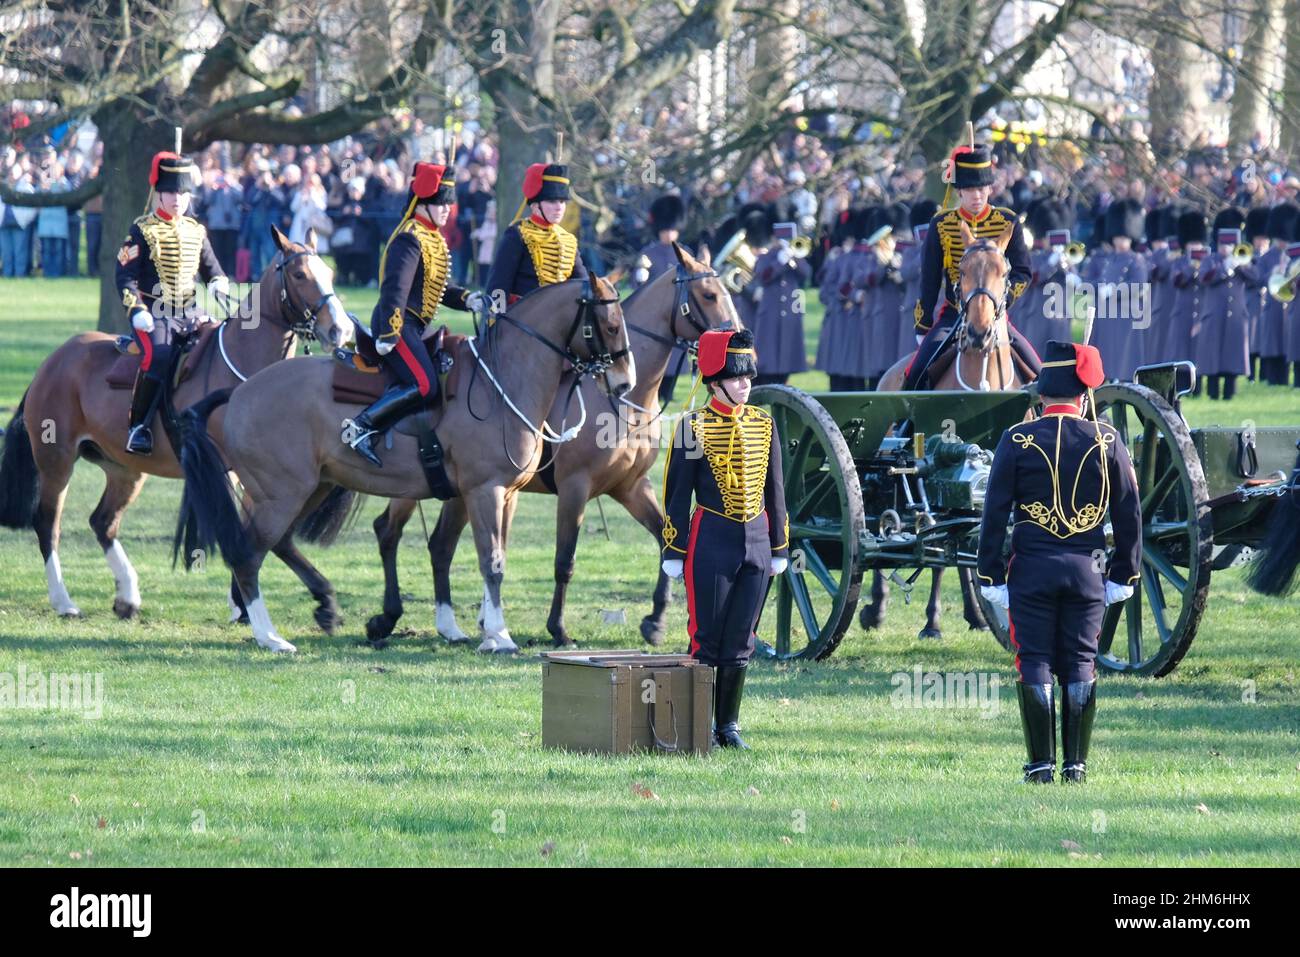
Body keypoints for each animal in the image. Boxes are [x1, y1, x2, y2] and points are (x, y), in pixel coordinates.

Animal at [0, 227, 351, 624]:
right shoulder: (227, 469)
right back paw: (64, 600)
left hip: (124, 469)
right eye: (299, 274)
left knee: (103, 522)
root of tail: (53, 360)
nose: (340, 330)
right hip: (56, 460)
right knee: (48, 523)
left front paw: (242, 604)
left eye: (330, 273)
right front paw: (244, 603)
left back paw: (128, 596)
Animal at [863, 221, 1034, 639]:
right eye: (963, 273)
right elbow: (939, 548)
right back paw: (876, 608)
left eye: (1005, 272)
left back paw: (975, 614)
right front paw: (933, 622)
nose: (978, 332)